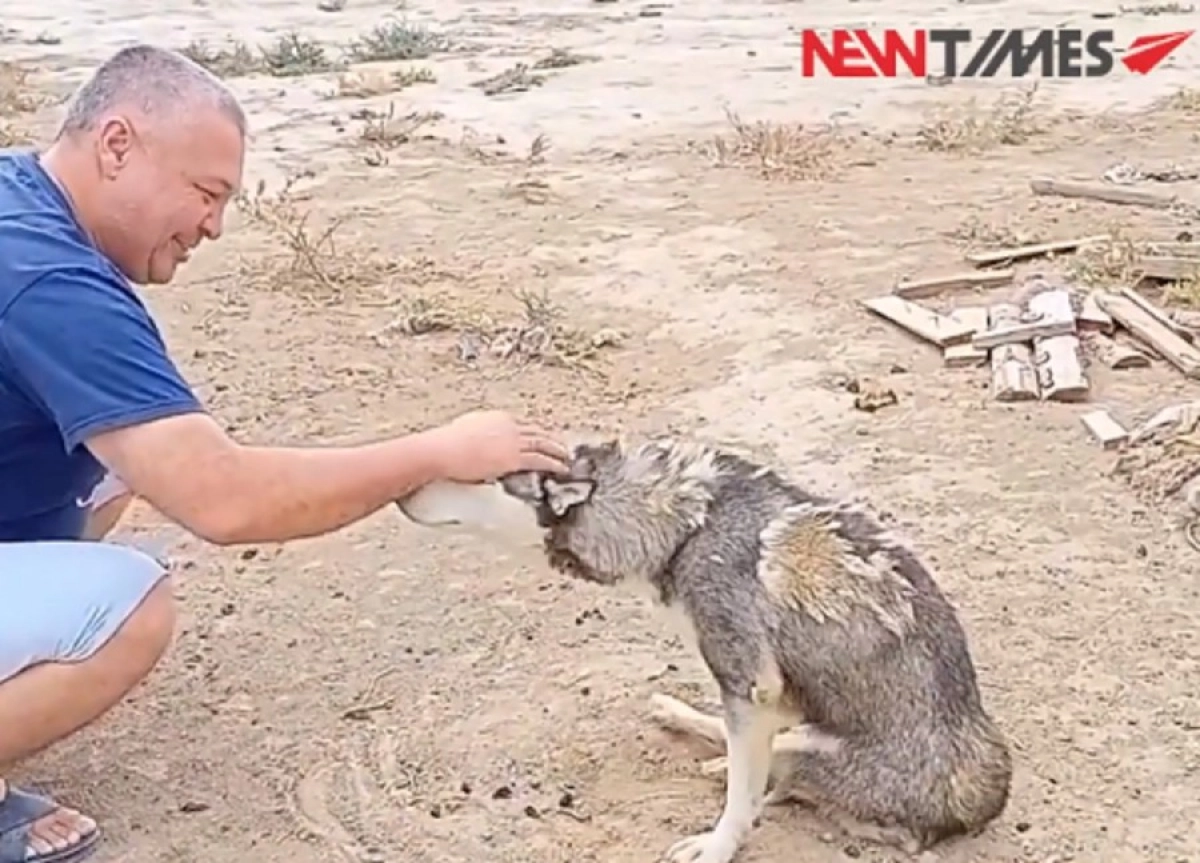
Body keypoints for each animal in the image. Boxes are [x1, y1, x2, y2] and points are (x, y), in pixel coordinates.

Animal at [396, 439, 1012, 863]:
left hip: (807, 746)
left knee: (776, 775)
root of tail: (984, 802)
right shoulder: (756, 695)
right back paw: (682, 720)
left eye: (477, 475)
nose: (404, 489)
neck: (683, 526)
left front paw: (716, 847)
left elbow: (742, 800)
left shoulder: (749, 683)